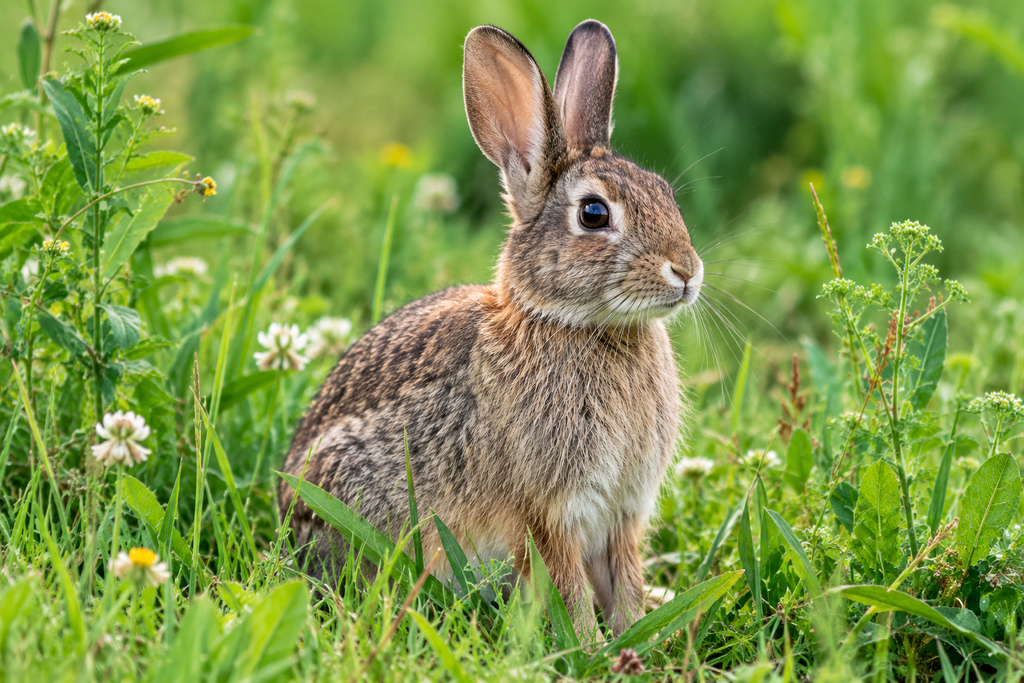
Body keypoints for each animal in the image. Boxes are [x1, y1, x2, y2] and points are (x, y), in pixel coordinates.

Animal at [279, 19, 703, 639]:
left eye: (665, 194)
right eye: (594, 214)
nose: (687, 272)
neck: (577, 326)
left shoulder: (621, 514)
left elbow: (623, 578)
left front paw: (635, 635)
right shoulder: (548, 512)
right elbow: (568, 587)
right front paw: (587, 644)